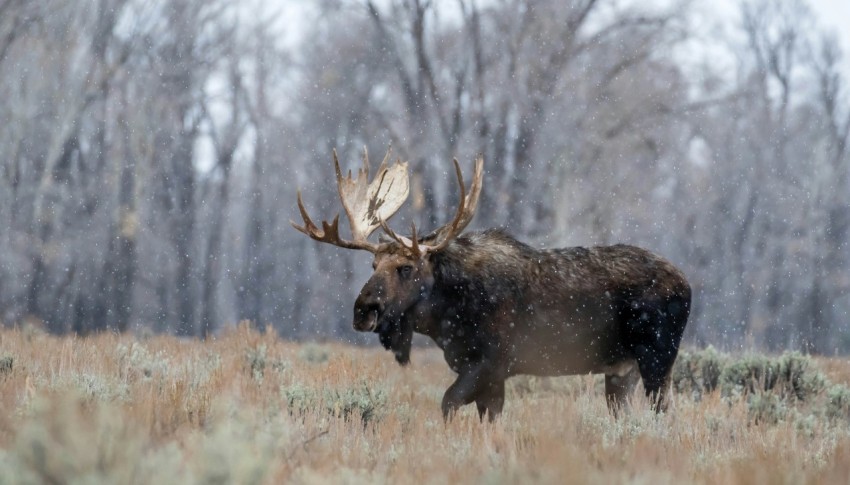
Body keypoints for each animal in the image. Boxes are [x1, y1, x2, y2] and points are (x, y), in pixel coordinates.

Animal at [292, 149, 688, 422]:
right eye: (373, 265)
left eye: (405, 268)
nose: (363, 311)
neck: (445, 317)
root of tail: (686, 283)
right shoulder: (487, 375)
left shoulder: (490, 364)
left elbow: (448, 404)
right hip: (622, 372)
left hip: (657, 359)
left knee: (664, 412)